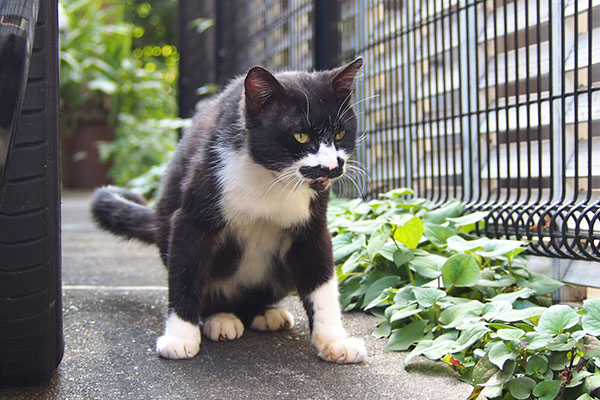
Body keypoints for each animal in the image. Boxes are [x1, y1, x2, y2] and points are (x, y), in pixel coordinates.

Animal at [92, 57, 368, 364]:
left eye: (340, 133)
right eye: (301, 136)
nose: (332, 167)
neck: (271, 179)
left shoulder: (312, 226)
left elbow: (322, 282)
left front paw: (334, 341)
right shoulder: (193, 216)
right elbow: (187, 273)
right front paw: (180, 337)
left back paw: (263, 314)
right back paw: (221, 317)